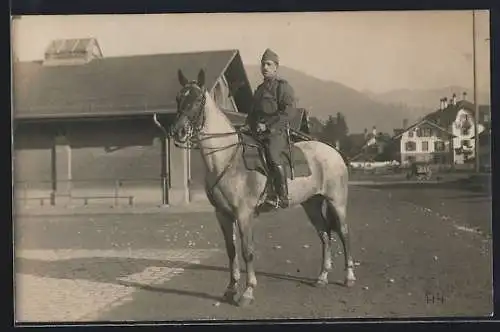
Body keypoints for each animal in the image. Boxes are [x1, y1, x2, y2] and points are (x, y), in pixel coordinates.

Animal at [158, 68, 358, 308]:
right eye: (178, 98)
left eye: (198, 100)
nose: (178, 131)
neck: (227, 158)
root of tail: (333, 152)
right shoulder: (222, 215)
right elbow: (231, 251)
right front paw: (230, 289)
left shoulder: (244, 214)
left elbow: (247, 251)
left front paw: (248, 292)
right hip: (311, 204)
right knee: (325, 234)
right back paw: (322, 277)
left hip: (337, 201)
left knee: (344, 233)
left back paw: (349, 277)